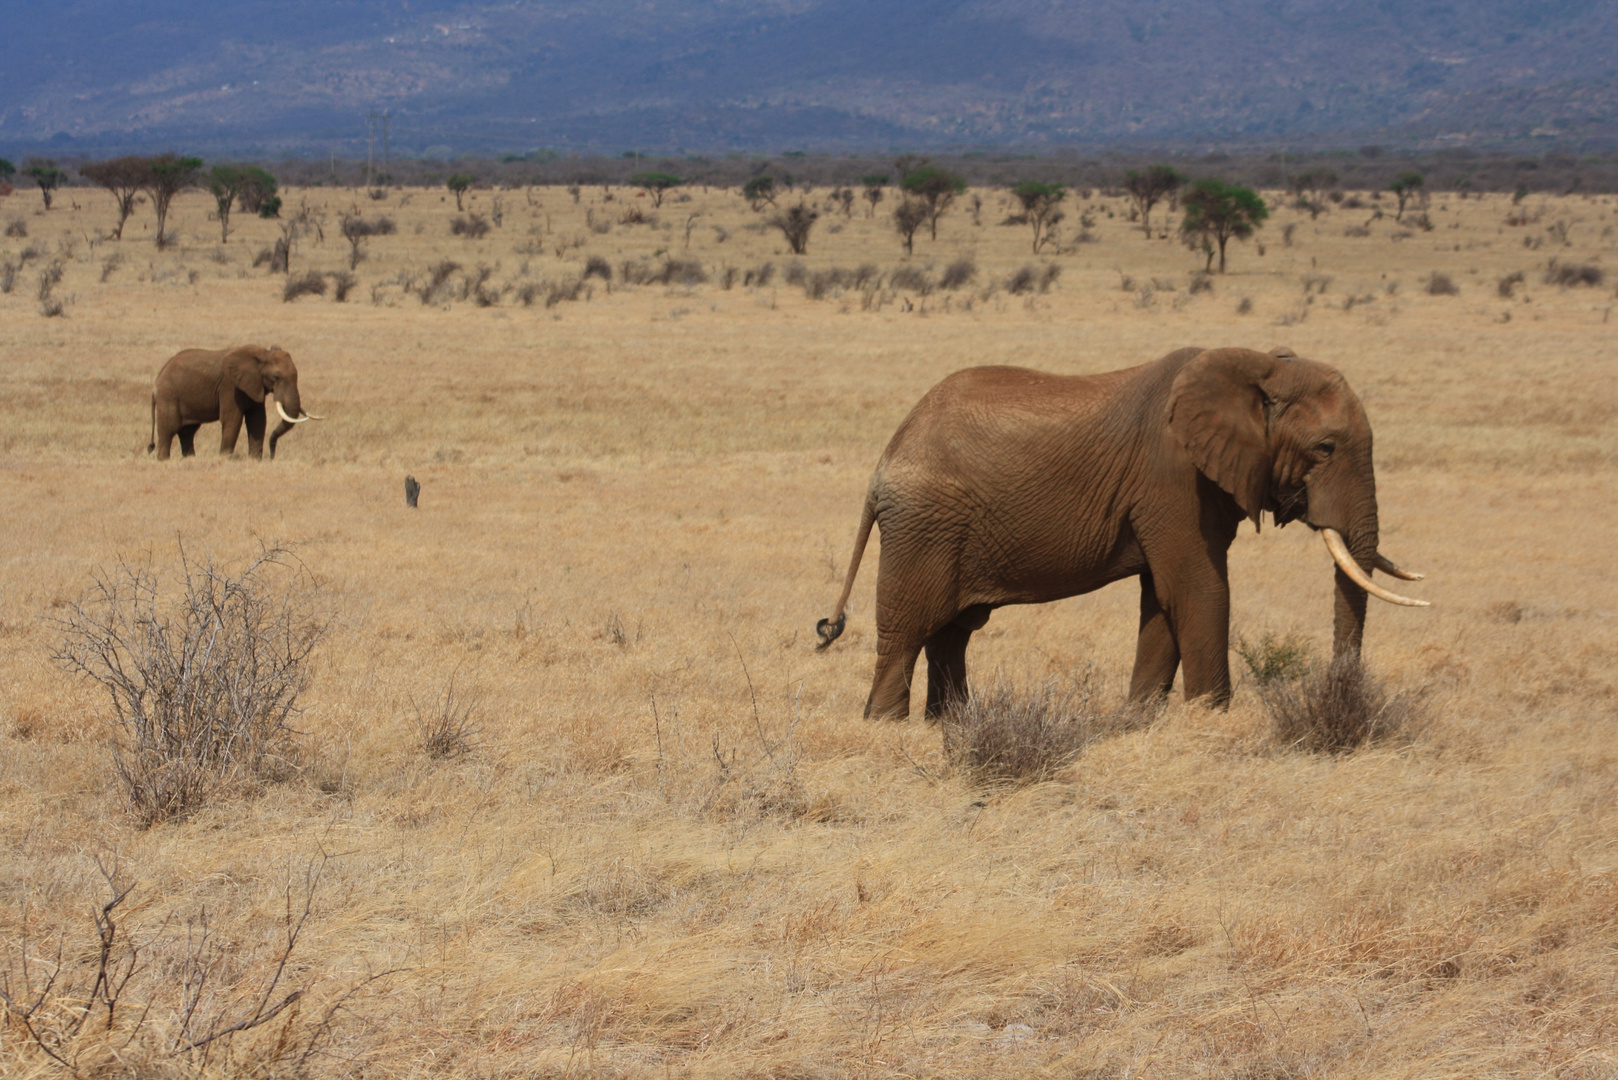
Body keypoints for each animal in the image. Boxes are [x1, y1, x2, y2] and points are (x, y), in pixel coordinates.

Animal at [148, 344, 321, 459]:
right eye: (276, 377)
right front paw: (225, 459)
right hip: (169, 397)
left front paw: (255, 460)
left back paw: (190, 459)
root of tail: (156, 383)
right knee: (169, 429)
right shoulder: (229, 386)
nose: (272, 456)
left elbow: (258, 420)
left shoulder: (254, 385)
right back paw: (164, 460)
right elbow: (233, 419)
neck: (262, 354)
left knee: (187, 432)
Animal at [815, 346, 1423, 718]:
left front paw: (1139, 720)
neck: (1257, 365)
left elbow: (1162, 599)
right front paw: (1212, 719)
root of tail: (885, 457)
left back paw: (952, 723)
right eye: (1326, 449)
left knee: (952, 632)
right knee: (910, 628)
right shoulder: (1173, 478)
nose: (1341, 694)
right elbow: (1197, 589)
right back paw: (886, 725)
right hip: (924, 525)